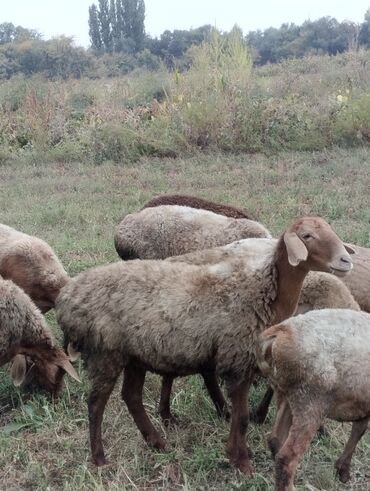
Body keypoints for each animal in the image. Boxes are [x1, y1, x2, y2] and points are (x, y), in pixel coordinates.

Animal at [56, 217, 354, 470]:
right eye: (307, 236)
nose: (346, 260)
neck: (262, 292)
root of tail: (68, 296)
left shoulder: (244, 361)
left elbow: (240, 415)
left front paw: (235, 454)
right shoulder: (237, 359)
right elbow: (242, 418)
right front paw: (241, 461)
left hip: (135, 354)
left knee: (131, 396)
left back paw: (157, 443)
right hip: (105, 351)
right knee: (96, 403)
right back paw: (99, 458)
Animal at [258, 310, 370, 490]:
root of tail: (276, 336)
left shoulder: (362, 401)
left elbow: (359, 429)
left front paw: (343, 470)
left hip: (285, 394)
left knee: (275, 440)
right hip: (310, 401)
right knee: (287, 458)